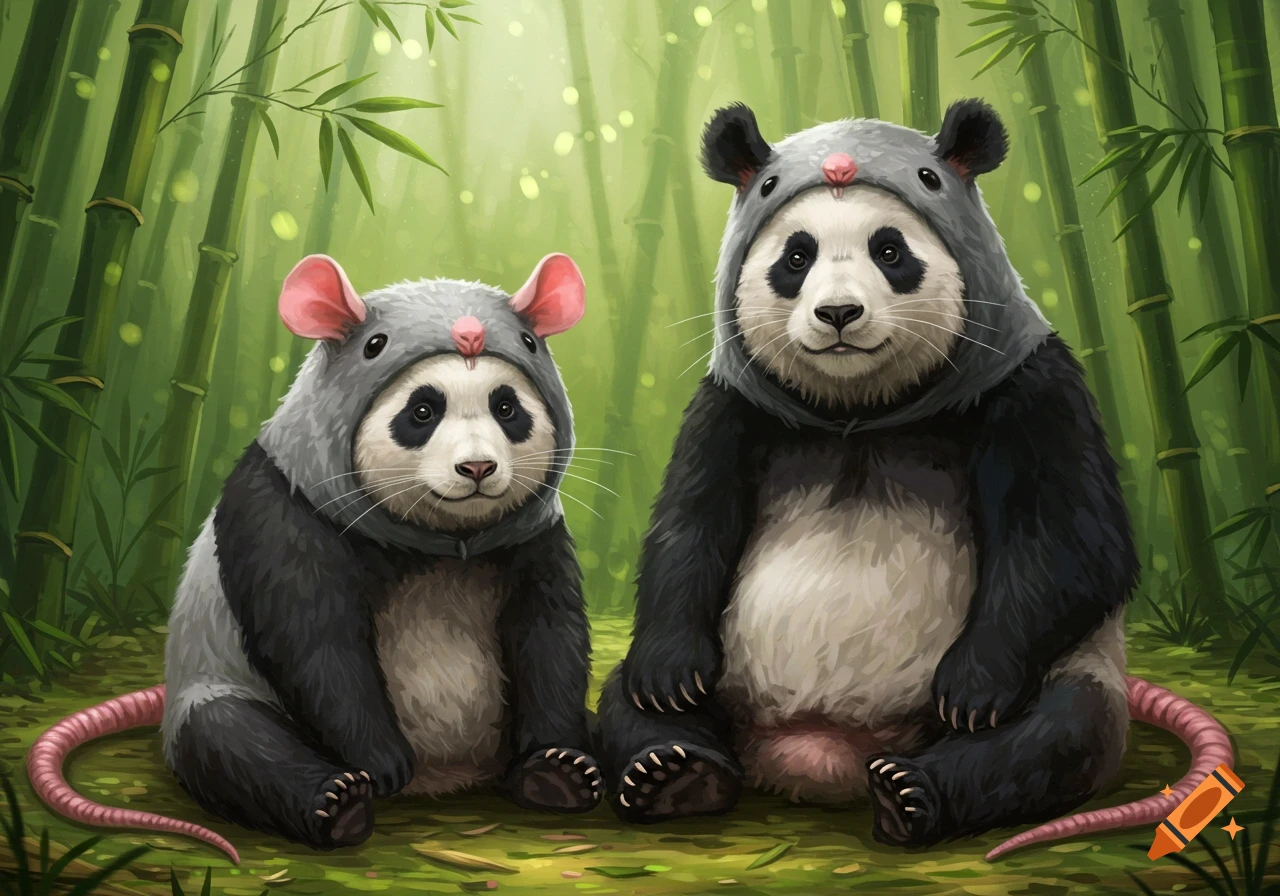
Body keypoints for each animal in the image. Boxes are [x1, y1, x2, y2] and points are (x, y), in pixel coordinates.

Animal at [28, 253, 601, 860]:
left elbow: (548, 634)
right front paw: (381, 763)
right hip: (216, 685)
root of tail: (453, 774)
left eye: (507, 407)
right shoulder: (287, 509)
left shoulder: (530, 536)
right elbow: (317, 641)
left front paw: (556, 761)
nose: (477, 468)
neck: (443, 540)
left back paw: (577, 776)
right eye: (423, 410)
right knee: (232, 740)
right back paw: (338, 802)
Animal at [595, 99, 1152, 849]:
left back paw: (912, 791)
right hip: (731, 683)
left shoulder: (1031, 386)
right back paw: (673, 771)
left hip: (1074, 668)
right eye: (796, 256)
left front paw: (973, 688)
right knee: (623, 698)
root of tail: (821, 753)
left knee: (1060, 731)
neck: (860, 412)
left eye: (890, 251)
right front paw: (670, 674)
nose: (838, 313)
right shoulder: (734, 408)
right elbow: (690, 528)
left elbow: (1073, 539)